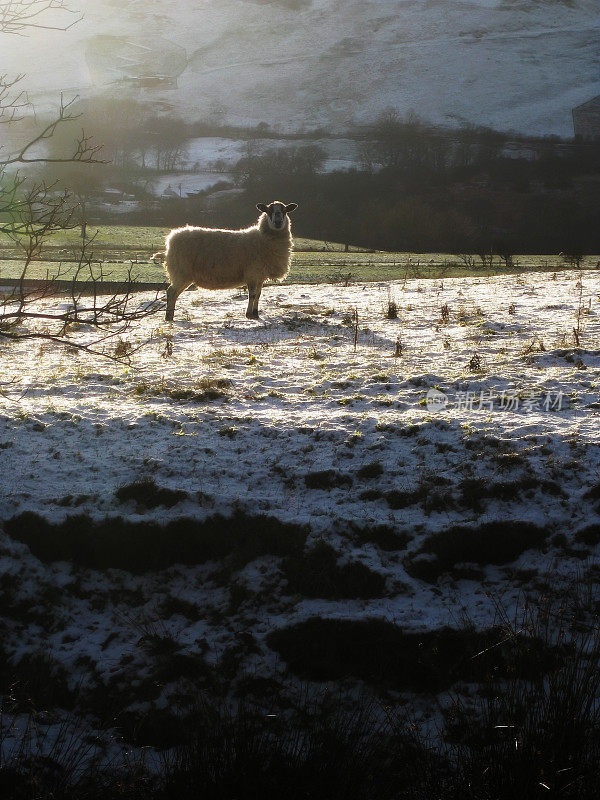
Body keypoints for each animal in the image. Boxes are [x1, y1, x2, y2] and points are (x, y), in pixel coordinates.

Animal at [159, 200, 298, 322]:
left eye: (285, 210)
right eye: (269, 211)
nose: (278, 222)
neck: (262, 238)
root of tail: (171, 240)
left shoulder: (260, 275)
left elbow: (258, 295)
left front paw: (256, 313)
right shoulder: (252, 273)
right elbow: (252, 295)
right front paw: (249, 314)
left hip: (182, 274)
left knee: (174, 293)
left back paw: (170, 316)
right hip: (181, 272)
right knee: (171, 292)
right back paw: (168, 317)